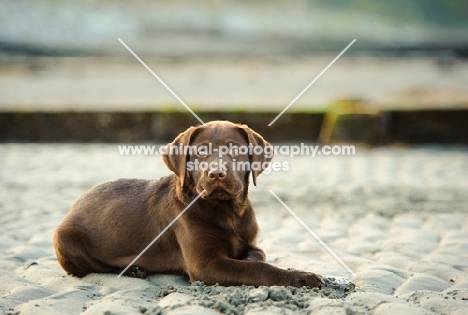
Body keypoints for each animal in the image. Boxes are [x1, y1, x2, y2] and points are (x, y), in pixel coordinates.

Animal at [51, 121, 322, 288]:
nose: (216, 174)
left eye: (235, 149)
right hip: (64, 236)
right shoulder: (205, 265)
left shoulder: (250, 242)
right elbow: (259, 269)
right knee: (93, 267)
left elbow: (258, 256)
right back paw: (132, 269)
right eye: (201, 152)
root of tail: (76, 203)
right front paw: (302, 277)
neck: (228, 212)